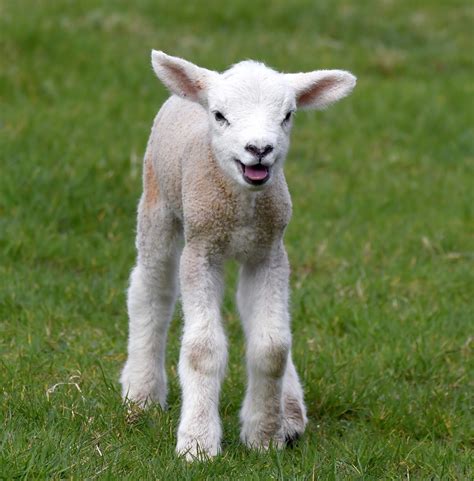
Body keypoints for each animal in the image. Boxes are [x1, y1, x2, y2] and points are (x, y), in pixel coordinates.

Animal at [119, 50, 356, 460]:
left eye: (288, 115)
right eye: (220, 115)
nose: (259, 150)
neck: (240, 206)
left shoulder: (268, 254)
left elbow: (273, 345)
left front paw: (265, 436)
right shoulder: (201, 251)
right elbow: (202, 348)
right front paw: (197, 442)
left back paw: (290, 411)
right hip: (158, 203)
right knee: (151, 290)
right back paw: (141, 392)